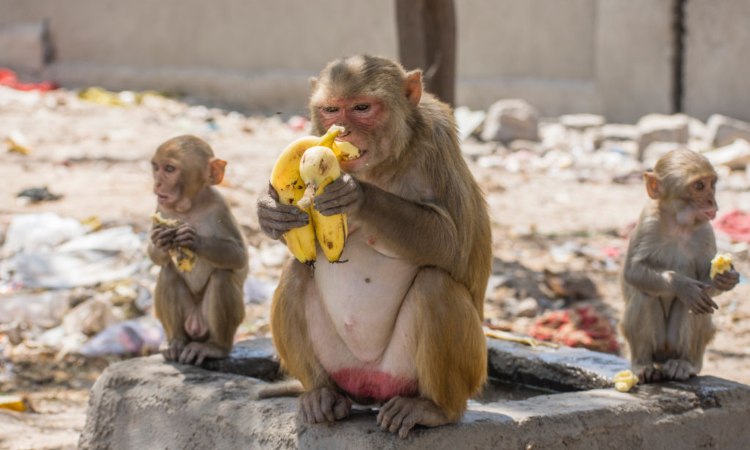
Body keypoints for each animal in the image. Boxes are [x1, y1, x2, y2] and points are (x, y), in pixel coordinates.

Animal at [148, 134, 248, 366]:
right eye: (156, 167)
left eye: (169, 169)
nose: (157, 183)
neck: (189, 207)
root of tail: (195, 324)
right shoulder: (162, 208)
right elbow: (154, 255)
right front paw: (160, 240)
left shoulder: (220, 207)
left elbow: (239, 256)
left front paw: (193, 240)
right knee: (168, 272)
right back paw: (176, 342)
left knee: (222, 277)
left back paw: (215, 348)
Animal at [258, 54, 494, 438]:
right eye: (331, 109)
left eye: (362, 108)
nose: (341, 131)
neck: (382, 166)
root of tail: (370, 388)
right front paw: (271, 212)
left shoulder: (437, 140)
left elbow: (454, 244)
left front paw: (356, 196)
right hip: (342, 366)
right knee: (297, 273)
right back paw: (322, 394)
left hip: (439, 372)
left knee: (435, 284)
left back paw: (435, 409)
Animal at [624, 149, 740, 382]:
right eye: (699, 186)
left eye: (712, 184)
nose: (712, 201)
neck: (678, 224)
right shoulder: (648, 221)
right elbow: (633, 272)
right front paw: (681, 285)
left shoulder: (706, 230)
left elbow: (706, 284)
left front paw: (725, 279)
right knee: (645, 293)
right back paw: (643, 364)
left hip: (679, 346)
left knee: (697, 305)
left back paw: (685, 364)